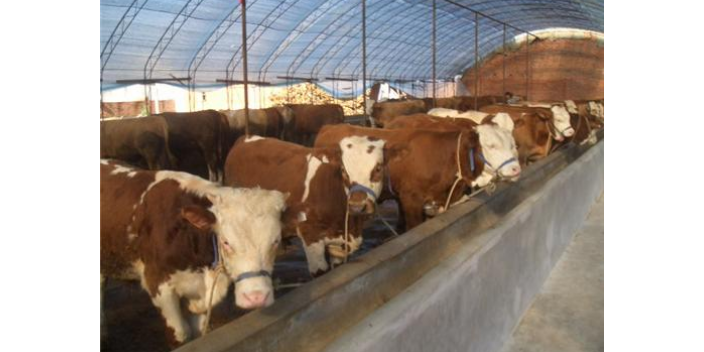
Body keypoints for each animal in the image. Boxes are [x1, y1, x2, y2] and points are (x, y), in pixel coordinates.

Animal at [224, 135, 384, 276]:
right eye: (343, 170)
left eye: (378, 168)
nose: (358, 206)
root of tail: (244, 139)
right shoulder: (310, 235)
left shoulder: (338, 245)